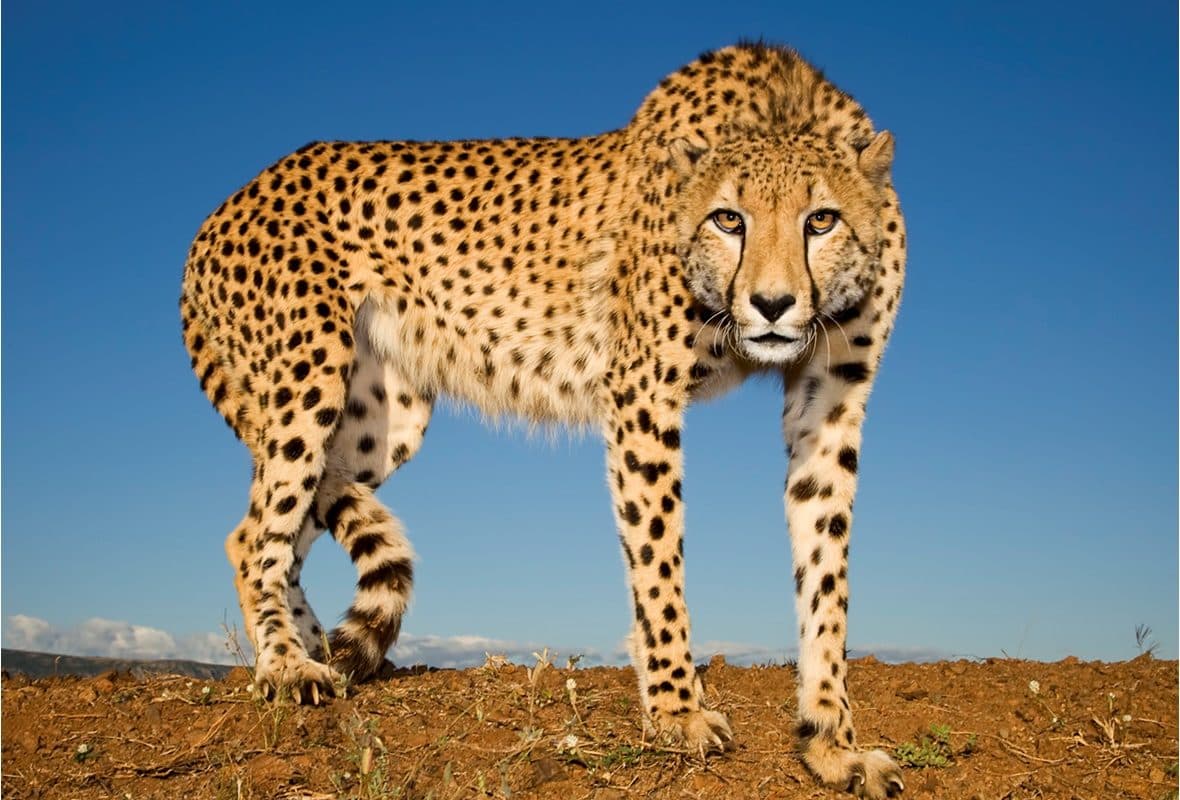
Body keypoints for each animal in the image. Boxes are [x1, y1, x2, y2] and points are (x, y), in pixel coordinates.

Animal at [180, 42, 907, 798]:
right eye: (728, 219)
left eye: (821, 219)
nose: (771, 305)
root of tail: (229, 203)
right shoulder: (641, 395)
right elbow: (659, 563)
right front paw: (676, 711)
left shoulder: (831, 404)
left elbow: (826, 573)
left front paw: (831, 740)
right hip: (309, 375)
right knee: (258, 534)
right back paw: (286, 666)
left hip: (381, 419)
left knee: (277, 526)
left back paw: (317, 649)